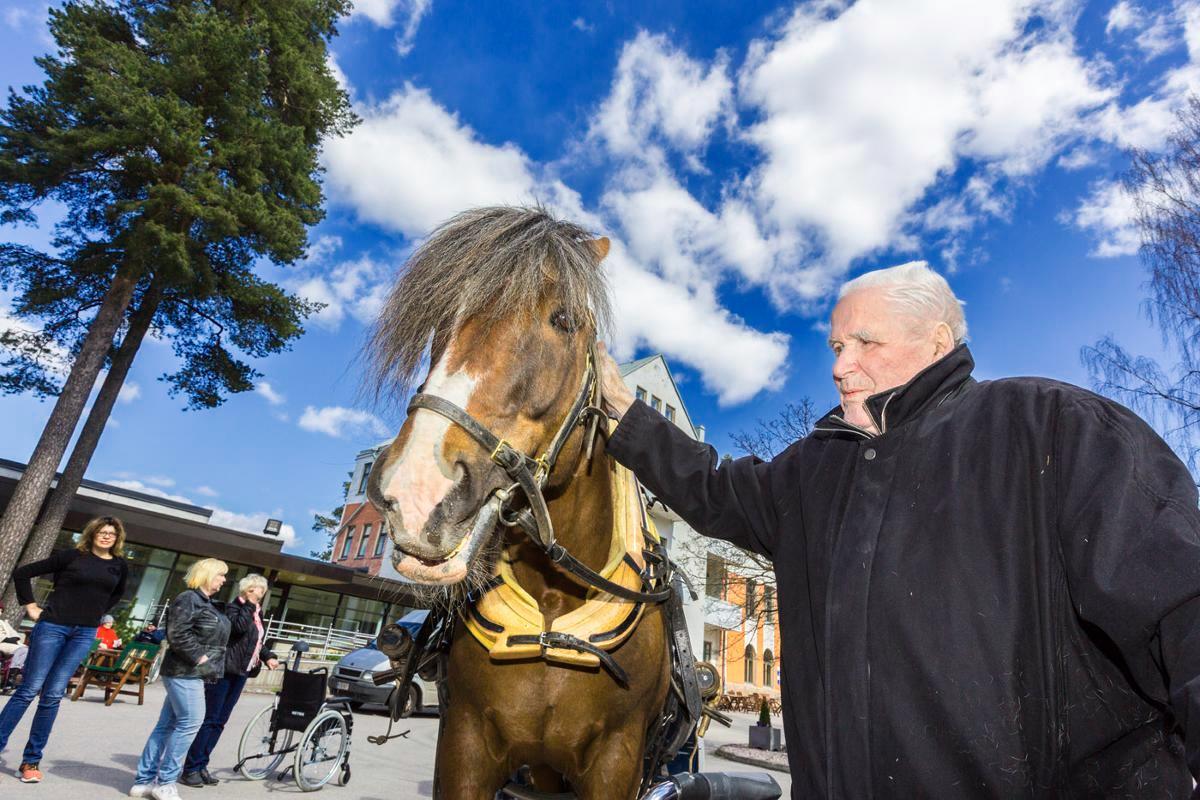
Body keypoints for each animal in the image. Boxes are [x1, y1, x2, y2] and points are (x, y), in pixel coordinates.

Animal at [360, 208, 681, 800]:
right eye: (441, 322)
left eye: (564, 319)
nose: (415, 491)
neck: (552, 609)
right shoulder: (464, 742)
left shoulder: (617, 758)